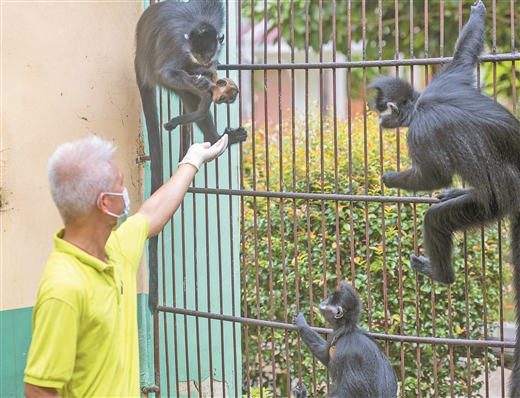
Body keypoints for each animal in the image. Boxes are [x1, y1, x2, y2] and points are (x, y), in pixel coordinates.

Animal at [134, 0, 248, 310]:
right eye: (198, 52)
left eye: (207, 52)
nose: (204, 62)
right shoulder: (177, 44)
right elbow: (169, 72)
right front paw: (201, 84)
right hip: (153, 67)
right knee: (174, 81)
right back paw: (215, 137)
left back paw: (217, 139)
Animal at [368, 0, 520, 394]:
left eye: (380, 110)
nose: (376, 120)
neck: (422, 104)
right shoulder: (446, 81)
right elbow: (463, 59)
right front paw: (478, 14)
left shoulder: (419, 132)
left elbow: (434, 175)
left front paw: (389, 178)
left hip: (493, 204)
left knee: (439, 218)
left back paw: (441, 275)